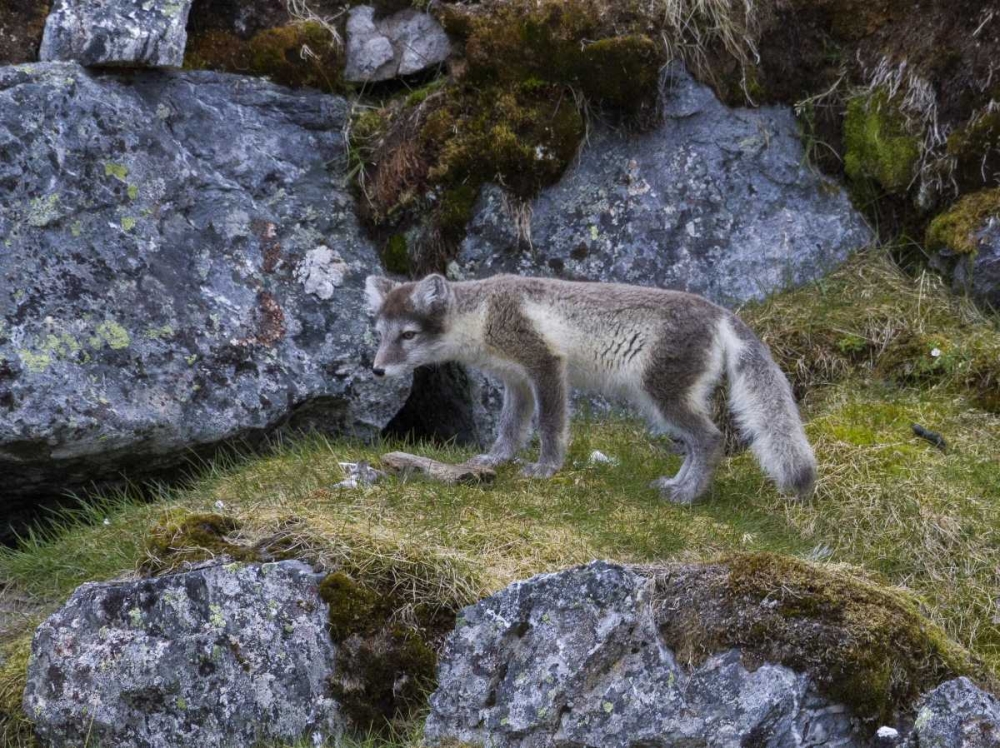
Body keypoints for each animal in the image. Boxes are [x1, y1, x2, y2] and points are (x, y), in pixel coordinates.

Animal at [364, 272, 816, 506]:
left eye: (408, 335)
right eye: (380, 333)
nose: (377, 370)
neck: (483, 315)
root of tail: (720, 313)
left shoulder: (546, 365)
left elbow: (549, 425)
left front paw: (546, 468)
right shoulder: (516, 380)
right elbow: (510, 428)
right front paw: (494, 459)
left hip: (663, 396)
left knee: (710, 438)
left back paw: (687, 495)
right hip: (667, 400)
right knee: (695, 442)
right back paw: (675, 485)